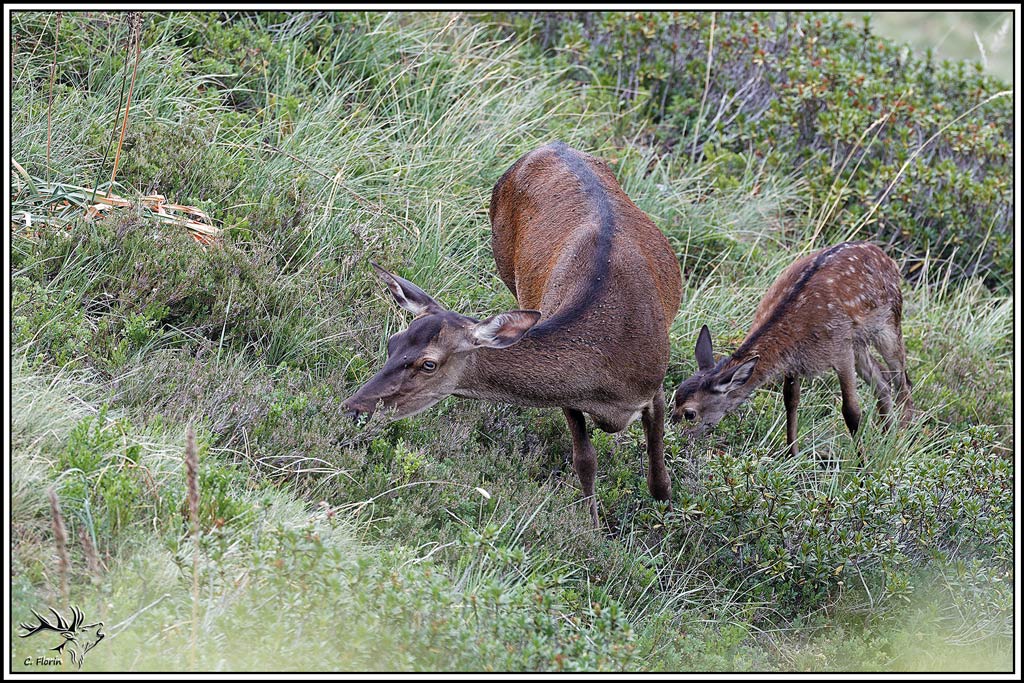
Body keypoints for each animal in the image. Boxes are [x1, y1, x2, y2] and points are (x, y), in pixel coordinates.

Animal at [342, 142, 683, 527]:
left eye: (429, 364)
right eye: (392, 343)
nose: (353, 408)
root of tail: (553, 145)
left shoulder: (656, 385)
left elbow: (659, 479)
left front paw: (668, 520)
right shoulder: (567, 398)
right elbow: (585, 462)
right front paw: (593, 527)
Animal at [670, 241, 913, 457]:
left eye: (690, 413)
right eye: (675, 397)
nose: (674, 441)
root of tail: (887, 257)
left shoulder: (840, 347)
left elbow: (851, 411)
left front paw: (860, 464)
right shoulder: (794, 362)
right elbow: (790, 402)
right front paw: (792, 454)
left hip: (890, 323)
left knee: (903, 381)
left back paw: (902, 437)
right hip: (859, 343)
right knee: (883, 382)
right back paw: (887, 434)